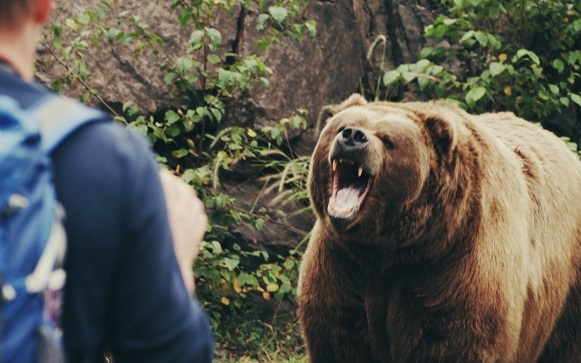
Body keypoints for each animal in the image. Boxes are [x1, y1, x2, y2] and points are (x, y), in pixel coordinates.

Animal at [296, 94, 580, 363]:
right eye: (342, 126)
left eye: (388, 140)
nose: (353, 137)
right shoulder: (343, 263)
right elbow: (339, 336)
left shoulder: (459, 264)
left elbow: (455, 341)